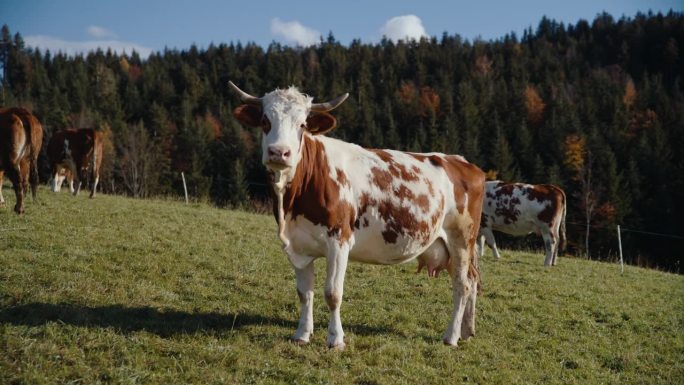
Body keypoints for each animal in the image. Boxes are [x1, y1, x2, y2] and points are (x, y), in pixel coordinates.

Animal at [230, 82, 486, 348]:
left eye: (302, 124)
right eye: (265, 120)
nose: (279, 152)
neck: (292, 203)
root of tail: (461, 161)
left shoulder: (339, 240)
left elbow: (333, 293)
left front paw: (336, 339)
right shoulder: (298, 245)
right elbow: (304, 293)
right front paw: (302, 334)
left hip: (461, 239)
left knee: (462, 285)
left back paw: (452, 336)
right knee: (473, 280)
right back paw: (467, 330)